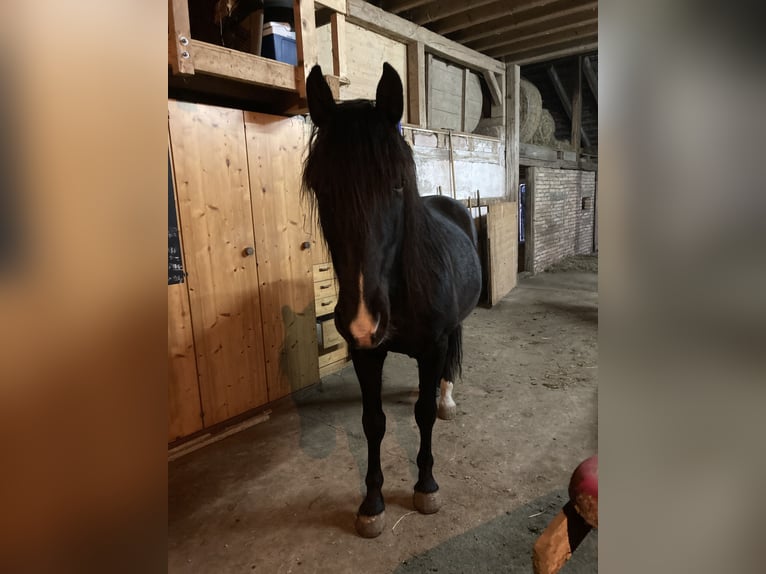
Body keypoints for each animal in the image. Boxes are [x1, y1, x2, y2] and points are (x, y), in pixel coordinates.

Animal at [303, 63, 482, 538]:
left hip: (452, 331)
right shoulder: (367, 354)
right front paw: (372, 503)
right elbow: (373, 422)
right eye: (320, 187)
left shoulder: (433, 346)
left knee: (446, 368)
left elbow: (423, 415)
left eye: (398, 184)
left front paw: (426, 486)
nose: (364, 320)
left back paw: (445, 397)